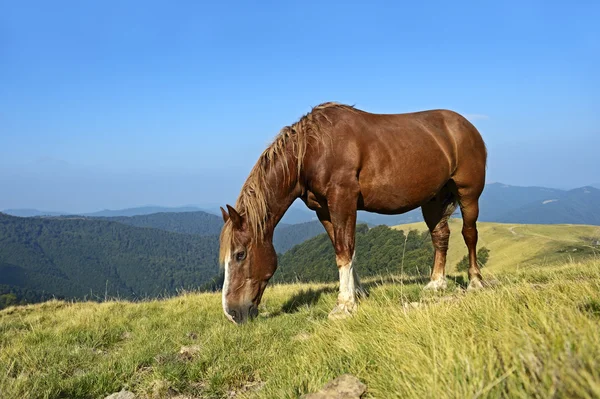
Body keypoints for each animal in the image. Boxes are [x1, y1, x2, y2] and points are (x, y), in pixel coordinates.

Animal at [220, 102, 488, 324]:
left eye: (240, 254)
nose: (232, 313)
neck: (313, 149)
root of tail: (468, 126)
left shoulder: (342, 200)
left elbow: (344, 250)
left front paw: (344, 305)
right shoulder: (324, 210)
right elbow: (345, 249)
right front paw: (358, 293)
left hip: (468, 193)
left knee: (469, 234)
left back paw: (475, 281)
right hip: (433, 200)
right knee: (440, 236)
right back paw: (436, 283)